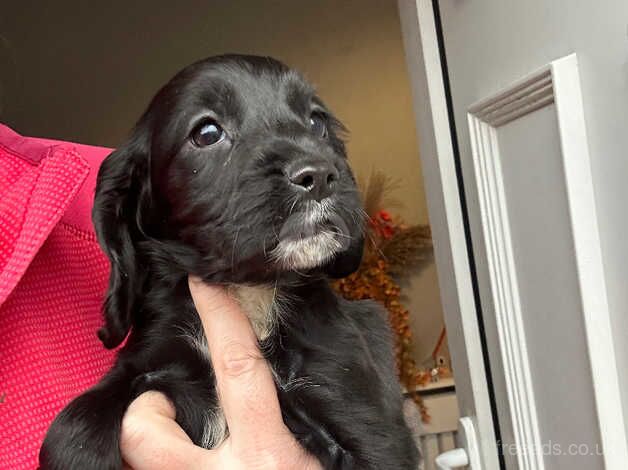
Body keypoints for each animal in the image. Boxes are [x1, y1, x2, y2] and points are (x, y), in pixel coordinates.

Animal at [41, 53, 420, 468]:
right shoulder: (145, 365)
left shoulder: (362, 415)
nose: (320, 175)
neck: (249, 295)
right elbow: (70, 428)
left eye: (317, 121)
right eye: (207, 133)